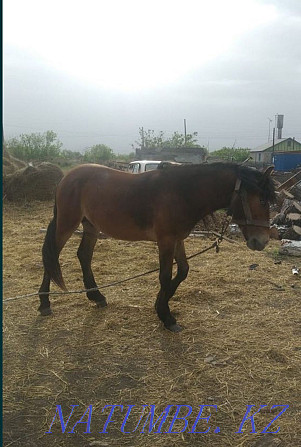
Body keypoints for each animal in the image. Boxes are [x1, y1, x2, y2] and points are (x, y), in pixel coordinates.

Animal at [37, 163, 274, 330]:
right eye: (262, 201)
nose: (262, 241)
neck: (183, 192)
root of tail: (66, 178)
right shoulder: (166, 240)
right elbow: (165, 276)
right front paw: (166, 316)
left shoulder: (178, 239)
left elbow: (182, 271)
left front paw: (161, 304)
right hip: (66, 224)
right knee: (52, 258)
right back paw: (44, 303)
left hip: (91, 226)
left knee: (84, 255)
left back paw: (96, 296)